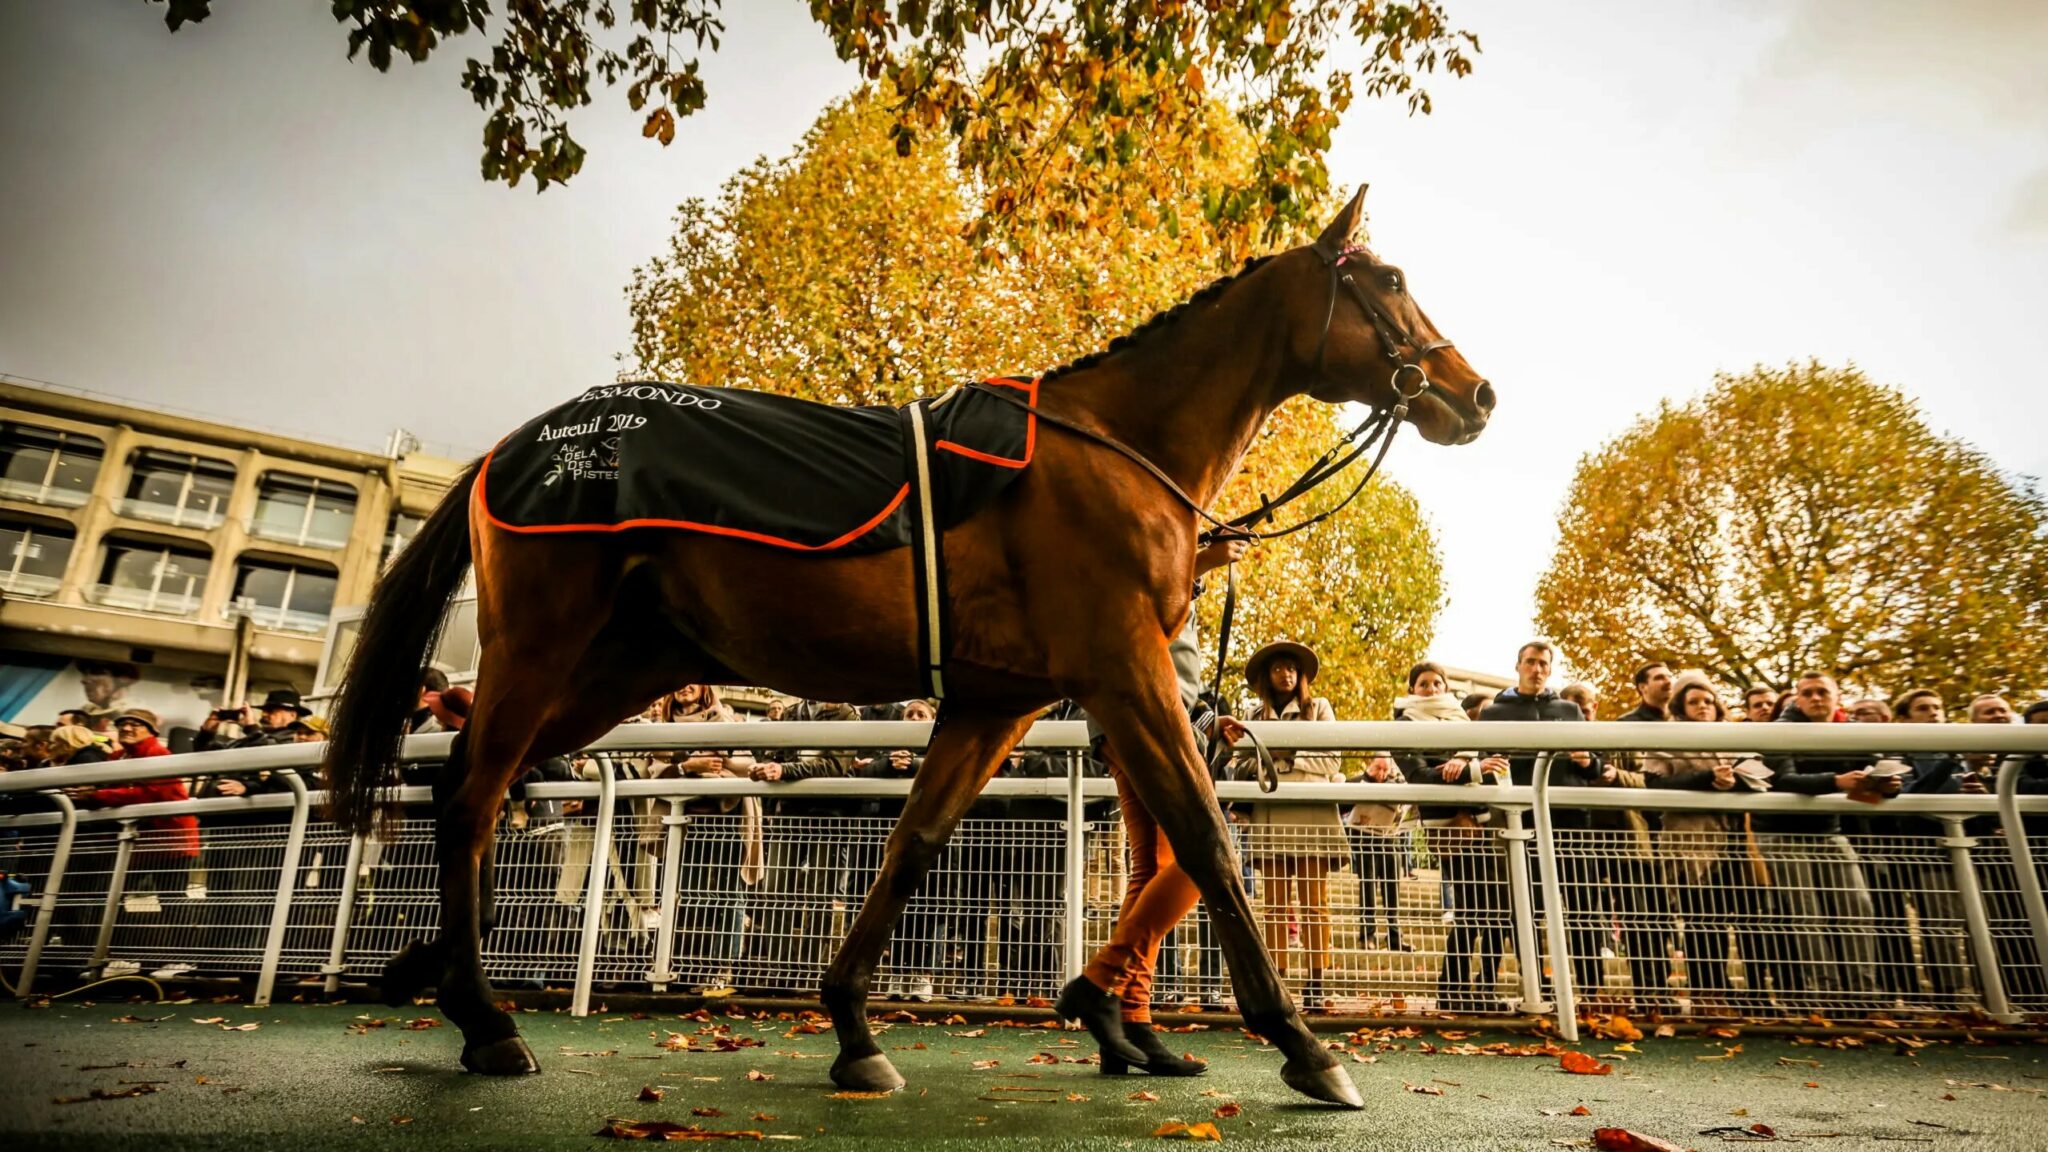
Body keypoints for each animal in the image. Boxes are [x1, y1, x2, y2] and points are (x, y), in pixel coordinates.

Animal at [327, 186, 1499, 1106]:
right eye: (1390, 278)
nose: (1474, 392)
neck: (1113, 447)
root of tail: (514, 446)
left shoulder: (997, 698)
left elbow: (915, 842)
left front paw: (854, 1027)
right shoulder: (1123, 667)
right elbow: (1206, 841)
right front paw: (1304, 1045)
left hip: (622, 665)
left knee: (474, 783)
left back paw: (432, 972)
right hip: (543, 641)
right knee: (474, 793)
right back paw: (487, 1020)